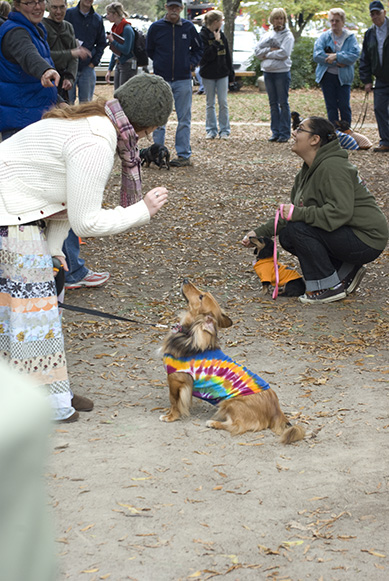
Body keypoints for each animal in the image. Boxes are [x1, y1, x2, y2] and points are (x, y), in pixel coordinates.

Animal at [159, 280, 304, 444]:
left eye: (201, 296)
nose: (184, 280)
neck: (189, 334)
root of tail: (277, 410)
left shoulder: (175, 379)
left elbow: (173, 401)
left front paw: (170, 416)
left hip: (230, 403)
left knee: (237, 426)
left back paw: (214, 423)